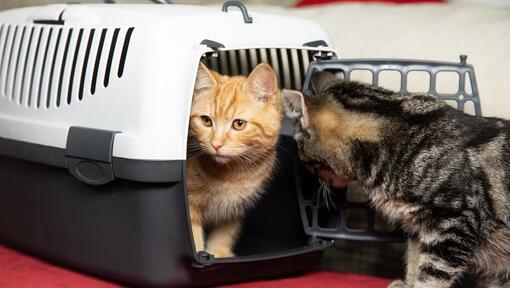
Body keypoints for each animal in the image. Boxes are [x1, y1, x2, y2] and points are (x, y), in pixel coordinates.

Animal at [187, 62, 280, 258]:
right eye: (206, 121)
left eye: (239, 124)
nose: (216, 144)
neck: (231, 175)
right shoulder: (190, 204)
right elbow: (192, 235)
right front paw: (198, 254)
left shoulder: (237, 206)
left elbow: (226, 232)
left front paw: (219, 252)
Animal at [280, 71, 510, 286]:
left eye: (305, 160)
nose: (314, 177)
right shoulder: (418, 227)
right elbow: (414, 260)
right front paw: (407, 283)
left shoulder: (455, 225)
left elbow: (431, 275)